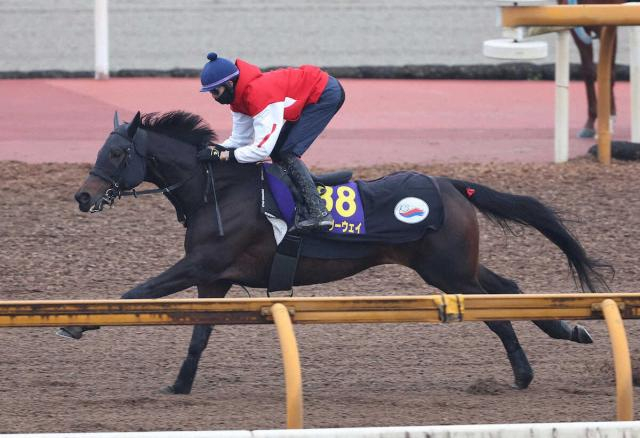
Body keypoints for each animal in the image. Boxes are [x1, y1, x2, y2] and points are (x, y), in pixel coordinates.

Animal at [70, 110, 611, 395]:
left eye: (117, 152)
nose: (82, 196)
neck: (217, 189)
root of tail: (450, 184)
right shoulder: (214, 278)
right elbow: (199, 335)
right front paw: (180, 385)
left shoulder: (202, 265)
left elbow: (138, 291)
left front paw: (76, 322)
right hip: (454, 264)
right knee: (508, 288)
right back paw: (570, 330)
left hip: (448, 273)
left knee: (494, 310)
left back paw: (524, 372)